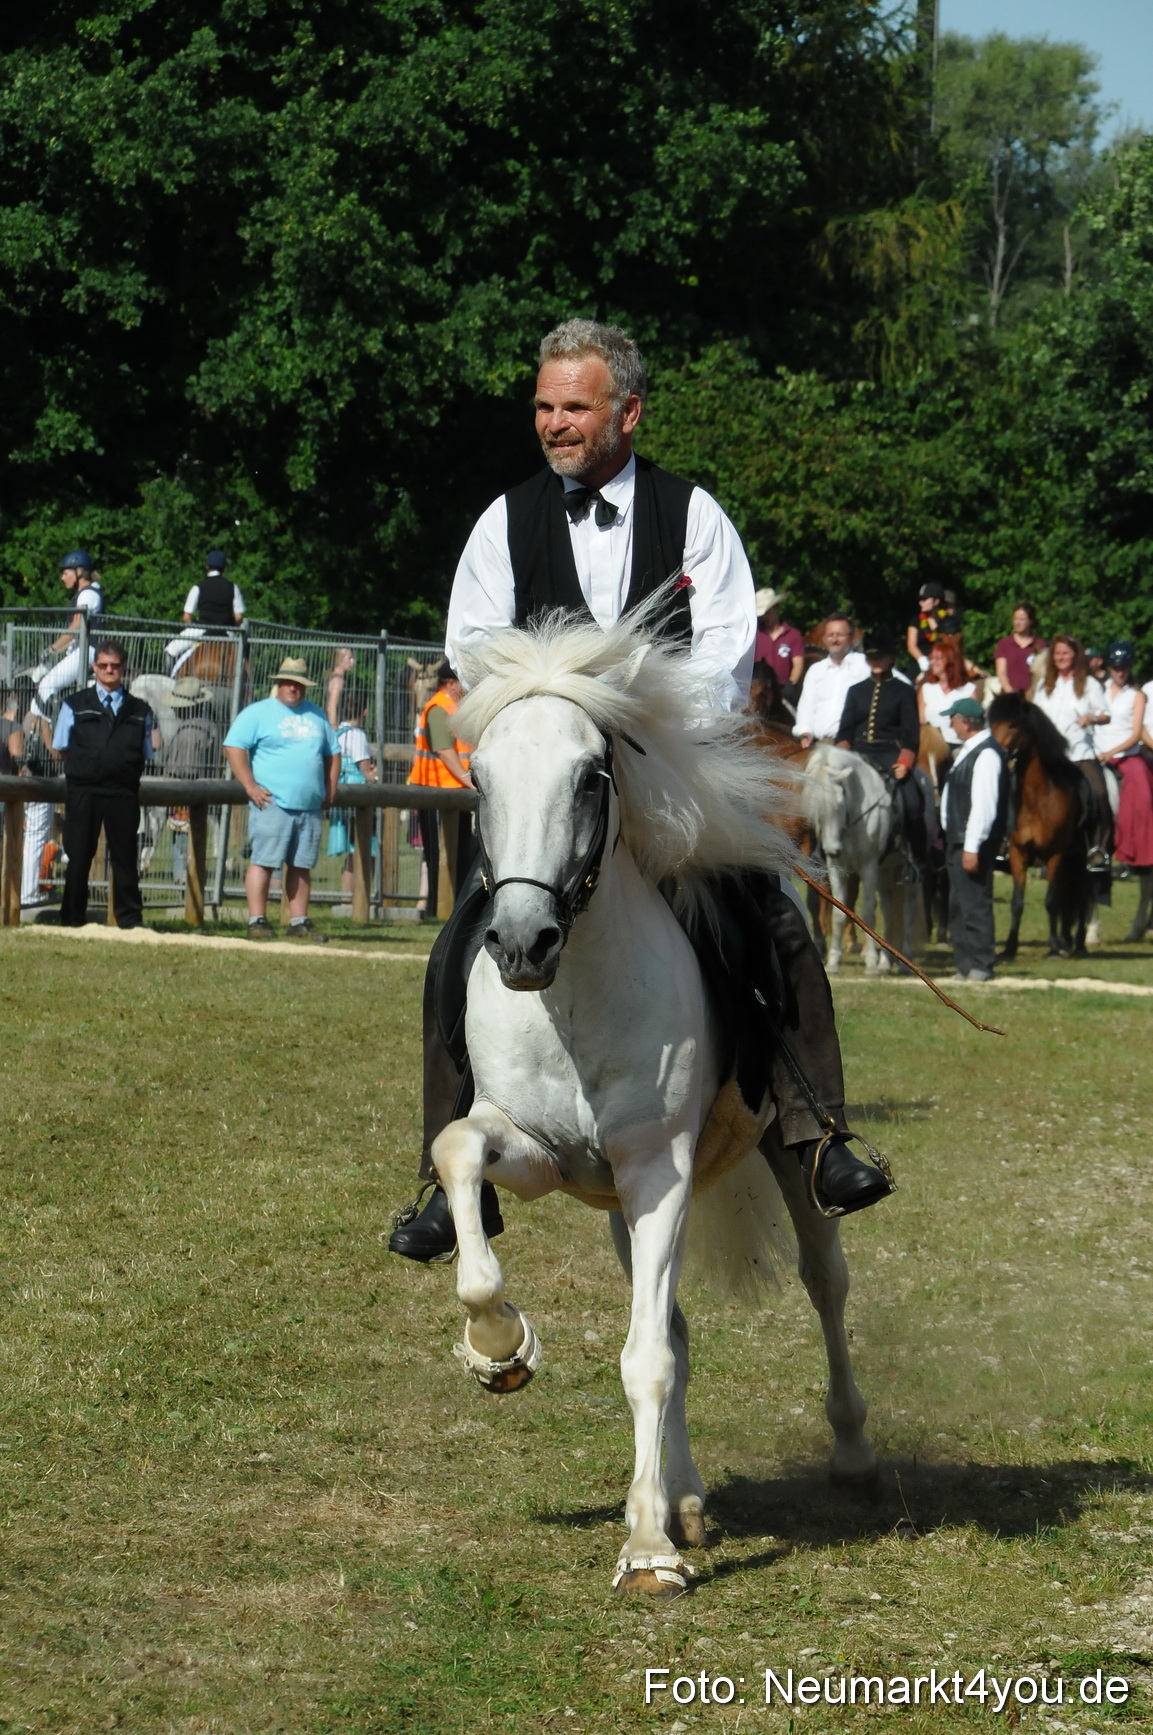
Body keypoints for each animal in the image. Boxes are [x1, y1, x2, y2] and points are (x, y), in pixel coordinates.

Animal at [429, 609, 879, 1596]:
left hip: (778, 1158)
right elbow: (457, 1151)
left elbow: (647, 1360)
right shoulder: (539, 1152)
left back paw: (849, 1452)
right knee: (671, 1318)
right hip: (615, 1211)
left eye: (590, 776)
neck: (573, 994)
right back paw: (687, 1496)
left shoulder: (657, 1172)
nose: (521, 943)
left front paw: (645, 1549)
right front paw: (497, 1346)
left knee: (823, 1281)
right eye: (479, 778)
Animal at [802, 745, 921, 974]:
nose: (832, 849)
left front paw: (871, 963)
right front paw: (833, 961)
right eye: (815, 811)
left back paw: (904, 961)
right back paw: (886, 961)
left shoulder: (869, 867)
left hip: (909, 871)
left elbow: (867, 912)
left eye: (839, 804)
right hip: (885, 870)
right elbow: (839, 914)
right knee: (887, 908)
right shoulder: (837, 867)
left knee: (909, 909)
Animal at [987, 692, 1089, 959]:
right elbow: (1017, 903)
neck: (1038, 799)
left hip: (1080, 858)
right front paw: (1009, 948)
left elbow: (1051, 901)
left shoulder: (1055, 854)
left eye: (1013, 725)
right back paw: (1067, 940)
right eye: (990, 723)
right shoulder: (1018, 853)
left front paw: (1053, 947)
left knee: (1081, 896)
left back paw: (1077, 944)